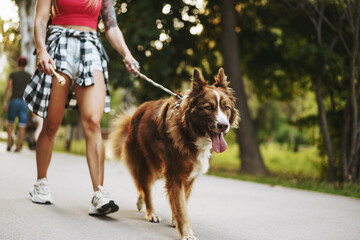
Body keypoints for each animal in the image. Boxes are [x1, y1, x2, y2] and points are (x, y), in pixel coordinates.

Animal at [109, 68, 239, 239]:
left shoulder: (188, 177)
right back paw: (151, 212)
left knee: (143, 185)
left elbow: (182, 201)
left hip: (158, 168)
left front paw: (175, 221)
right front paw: (187, 233)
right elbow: (181, 207)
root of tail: (134, 114)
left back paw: (140, 201)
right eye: (209, 108)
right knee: (145, 186)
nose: (223, 126)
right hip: (147, 163)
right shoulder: (176, 175)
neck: (189, 132)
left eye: (226, 108)